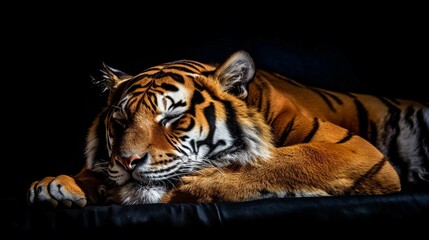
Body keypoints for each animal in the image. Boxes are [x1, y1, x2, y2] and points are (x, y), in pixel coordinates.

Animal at [27, 49, 428, 207]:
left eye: (173, 119)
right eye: (120, 121)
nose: (128, 162)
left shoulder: (356, 150)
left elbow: (283, 160)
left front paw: (198, 183)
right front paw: (56, 184)